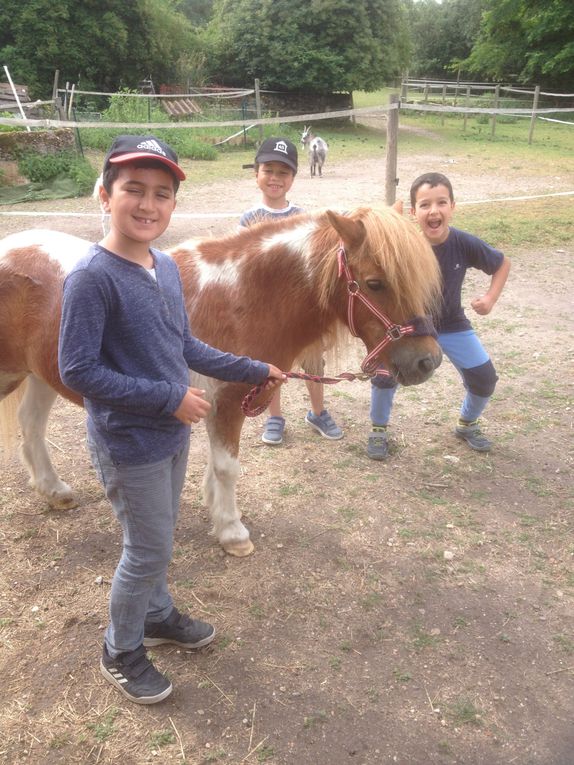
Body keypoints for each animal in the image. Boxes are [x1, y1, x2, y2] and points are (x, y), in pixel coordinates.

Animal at [0, 209, 444, 556]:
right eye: (374, 283)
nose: (428, 361)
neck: (243, 295)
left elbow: (217, 469)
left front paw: (216, 511)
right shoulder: (226, 403)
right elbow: (228, 468)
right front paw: (232, 532)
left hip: (41, 375)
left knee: (31, 426)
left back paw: (54, 490)